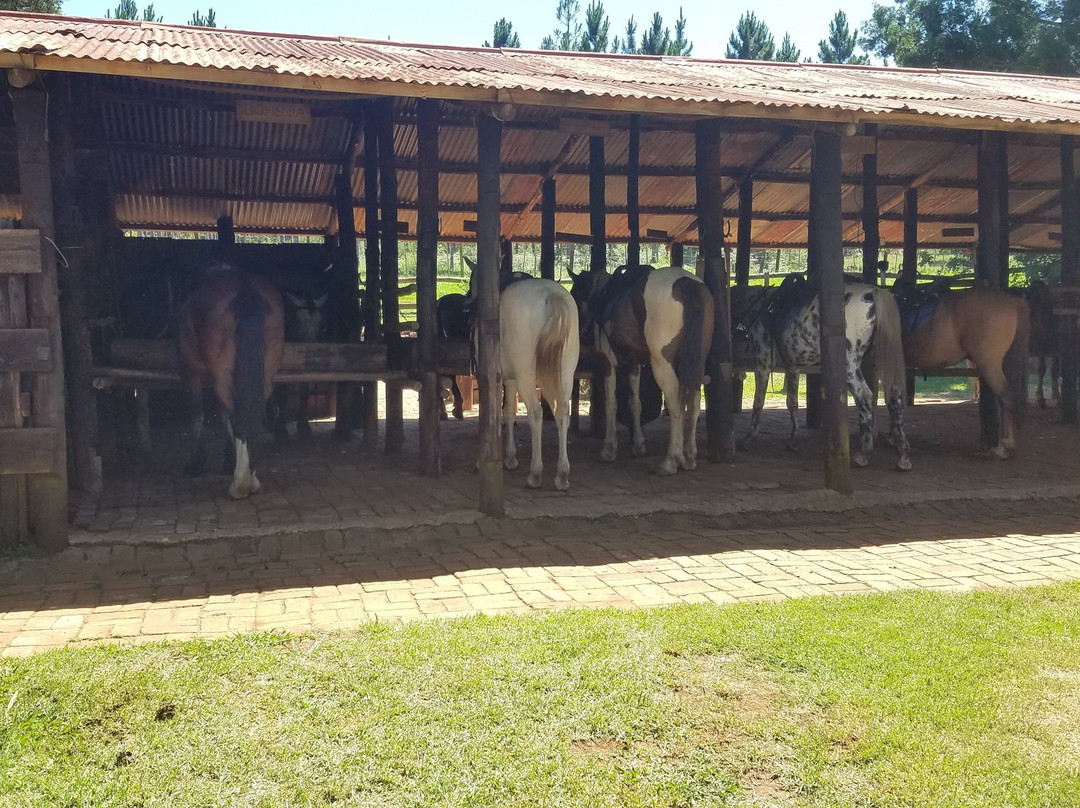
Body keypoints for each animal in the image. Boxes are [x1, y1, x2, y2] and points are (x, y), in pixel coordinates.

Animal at [178, 265, 285, 499]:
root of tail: (245, 289)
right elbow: (223, 415)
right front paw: (228, 459)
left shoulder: (191, 372)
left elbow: (198, 414)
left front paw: (195, 463)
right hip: (264, 375)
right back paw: (250, 477)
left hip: (222, 377)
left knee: (237, 416)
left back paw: (241, 482)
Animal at [464, 257, 579, 489]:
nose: (468, 301)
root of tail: (552, 297)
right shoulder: (511, 380)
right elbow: (508, 413)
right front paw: (510, 457)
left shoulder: (495, 378)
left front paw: (484, 460)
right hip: (564, 374)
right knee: (563, 411)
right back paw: (562, 474)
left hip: (527, 376)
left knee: (535, 413)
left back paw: (535, 473)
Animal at [570, 264, 714, 476]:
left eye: (575, 294)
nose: (580, 332)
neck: (602, 296)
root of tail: (686, 282)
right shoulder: (634, 365)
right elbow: (635, 403)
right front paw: (638, 446)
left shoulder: (608, 364)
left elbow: (611, 404)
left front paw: (609, 449)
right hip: (695, 362)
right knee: (693, 403)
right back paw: (689, 457)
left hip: (662, 365)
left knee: (675, 403)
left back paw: (671, 460)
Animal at [732, 276, 911, 471]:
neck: (759, 307)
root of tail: (874, 293)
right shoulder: (793, 367)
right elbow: (792, 403)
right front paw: (793, 441)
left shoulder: (763, 365)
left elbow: (758, 403)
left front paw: (748, 439)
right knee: (894, 398)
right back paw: (903, 455)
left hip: (850, 366)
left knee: (864, 396)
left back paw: (864, 452)